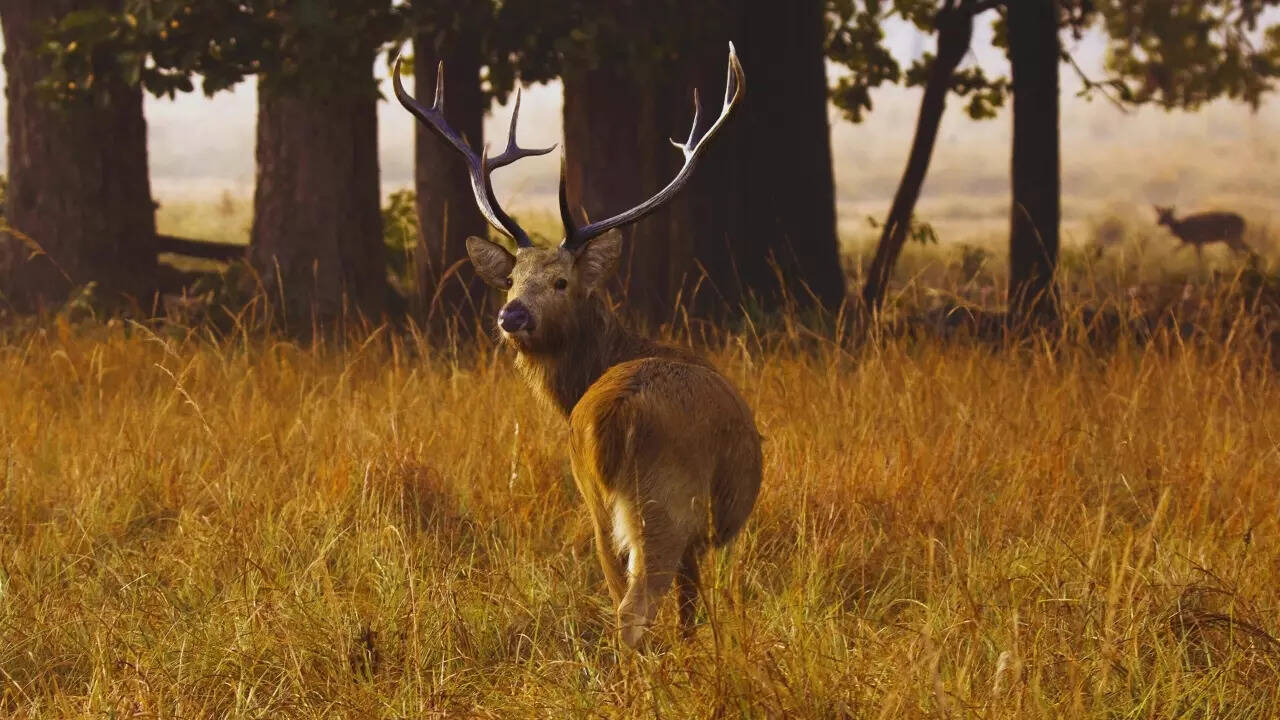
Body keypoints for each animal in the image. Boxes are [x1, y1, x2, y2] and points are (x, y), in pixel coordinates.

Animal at [393, 44, 761, 649]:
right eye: (512, 279)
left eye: (560, 282)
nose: (511, 314)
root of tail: (616, 415)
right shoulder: (698, 535)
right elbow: (689, 609)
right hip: (667, 502)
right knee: (634, 609)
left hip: (596, 502)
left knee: (616, 595)